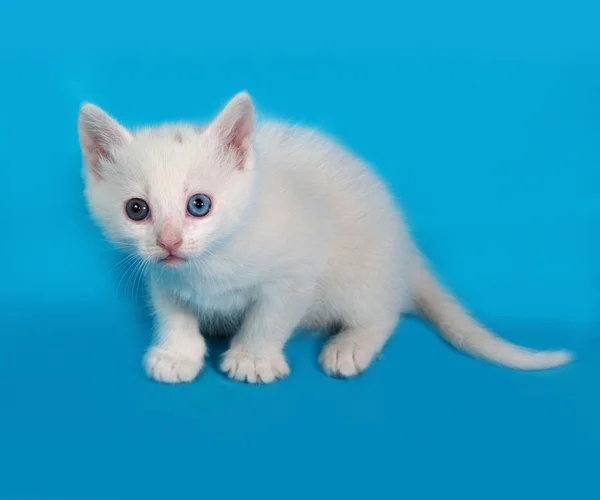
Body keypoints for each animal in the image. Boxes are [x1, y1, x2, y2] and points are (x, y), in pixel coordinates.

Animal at [77, 92, 576, 384]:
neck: (210, 265)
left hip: (361, 274)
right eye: (137, 210)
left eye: (199, 205)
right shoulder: (164, 278)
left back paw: (350, 346)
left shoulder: (296, 273)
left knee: (383, 314)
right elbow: (173, 314)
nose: (170, 242)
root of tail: (406, 250)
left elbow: (270, 318)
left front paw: (253, 358)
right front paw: (177, 355)